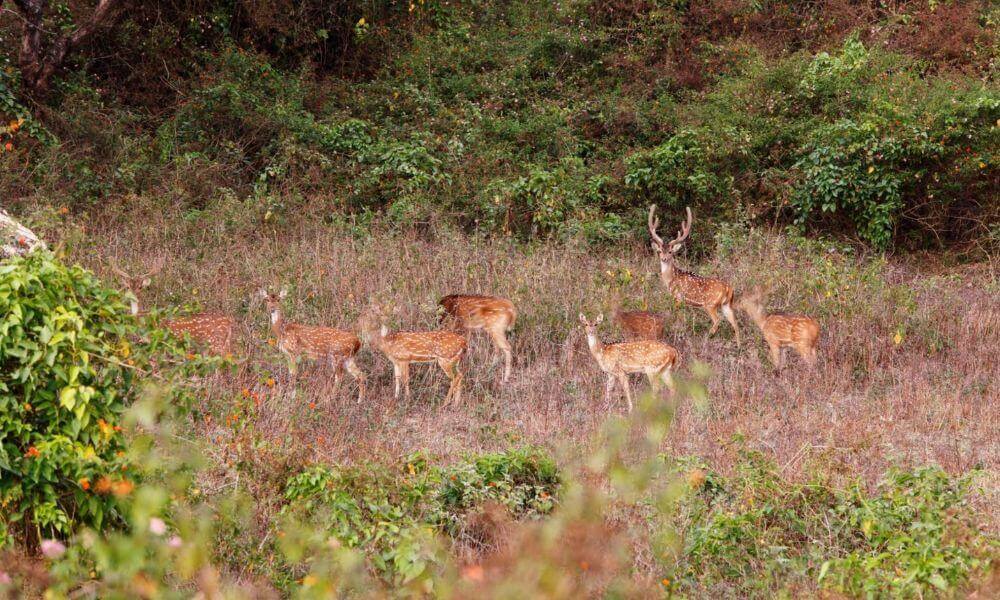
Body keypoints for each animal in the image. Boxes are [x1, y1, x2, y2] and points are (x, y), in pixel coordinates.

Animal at [648, 206, 744, 344]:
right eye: (660, 251)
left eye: (671, 251)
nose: (664, 258)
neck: (671, 279)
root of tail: (729, 289)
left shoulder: (678, 297)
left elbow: (677, 317)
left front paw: (678, 333)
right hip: (727, 305)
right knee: (735, 323)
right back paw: (738, 345)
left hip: (710, 304)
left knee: (718, 320)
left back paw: (708, 336)